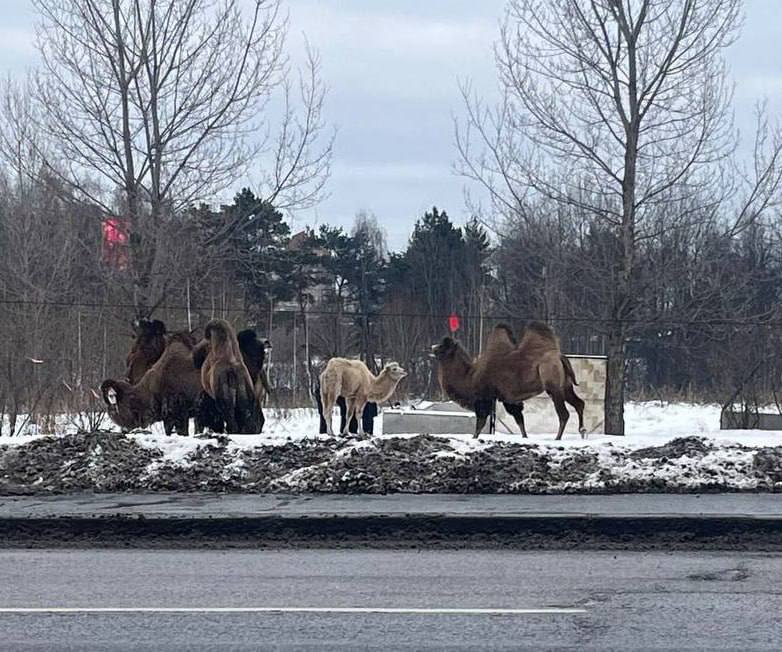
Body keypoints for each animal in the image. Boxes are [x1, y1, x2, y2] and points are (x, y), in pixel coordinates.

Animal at [434, 324, 588, 440]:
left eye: (444, 346)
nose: (433, 347)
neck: (470, 376)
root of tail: (561, 357)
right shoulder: (509, 399)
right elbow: (520, 421)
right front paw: (525, 437)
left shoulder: (484, 397)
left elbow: (480, 422)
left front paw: (474, 438)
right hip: (565, 386)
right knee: (579, 404)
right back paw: (582, 431)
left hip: (552, 383)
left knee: (564, 413)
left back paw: (557, 438)